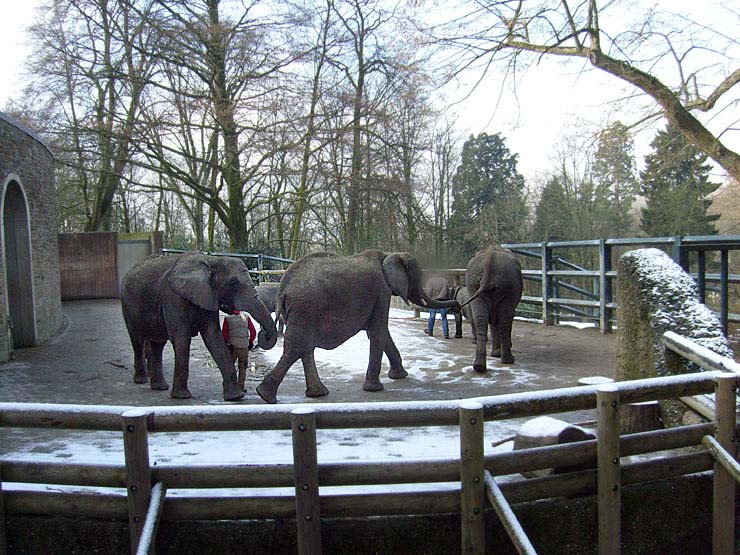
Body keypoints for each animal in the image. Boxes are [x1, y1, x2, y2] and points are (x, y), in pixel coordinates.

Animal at [121, 254, 278, 402]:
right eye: (233, 284)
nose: (262, 335)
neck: (211, 260)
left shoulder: (208, 296)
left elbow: (213, 337)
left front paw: (235, 397)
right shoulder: (173, 298)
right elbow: (182, 339)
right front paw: (182, 397)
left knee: (157, 343)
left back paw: (160, 387)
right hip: (126, 303)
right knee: (137, 340)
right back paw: (141, 380)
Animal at [254, 251, 456, 404]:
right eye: (417, 276)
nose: (456, 302)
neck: (388, 255)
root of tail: (283, 287)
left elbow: (380, 333)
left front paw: (399, 376)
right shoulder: (381, 292)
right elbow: (378, 331)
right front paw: (375, 389)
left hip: (302, 311)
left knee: (305, 347)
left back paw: (315, 393)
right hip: (306, 307)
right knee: (297, 347)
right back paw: (265, 395)